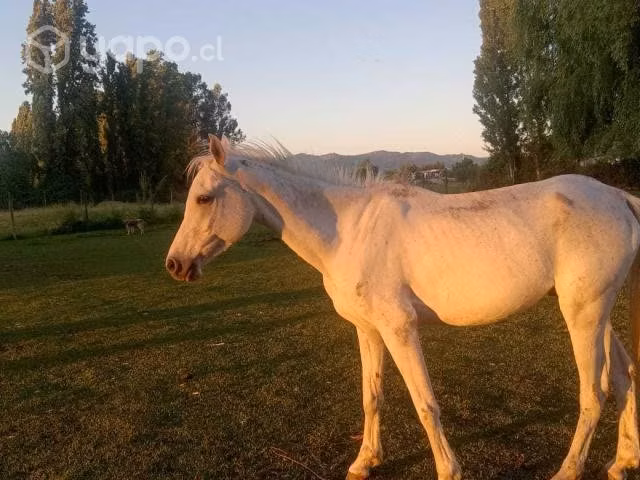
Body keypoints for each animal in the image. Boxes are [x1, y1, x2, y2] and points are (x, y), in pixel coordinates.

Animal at [166, 135, 640, 480]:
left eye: (204, 198)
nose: (175, 264)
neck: (348, 229)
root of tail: (618, 197)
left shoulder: (400, 328)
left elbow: (425, 403)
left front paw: (449, 471)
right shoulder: (368, 330)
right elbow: (371, 397)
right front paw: (364, 462)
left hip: (583, 316)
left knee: (593, 393)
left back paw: (568, 470)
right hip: (596, 314)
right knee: (624, 377)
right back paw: (622, 462)